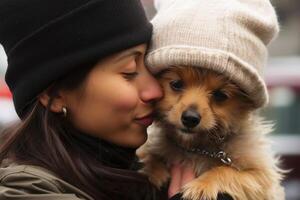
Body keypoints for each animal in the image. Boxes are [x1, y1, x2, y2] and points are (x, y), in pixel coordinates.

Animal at [137, 66, 284, 199]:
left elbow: (225, 170)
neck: (196, 148)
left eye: (220, 95)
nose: (190, 119)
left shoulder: (262, 177)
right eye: (176, 84)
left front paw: (202, 185)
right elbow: (148, 154)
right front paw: (155, 171)